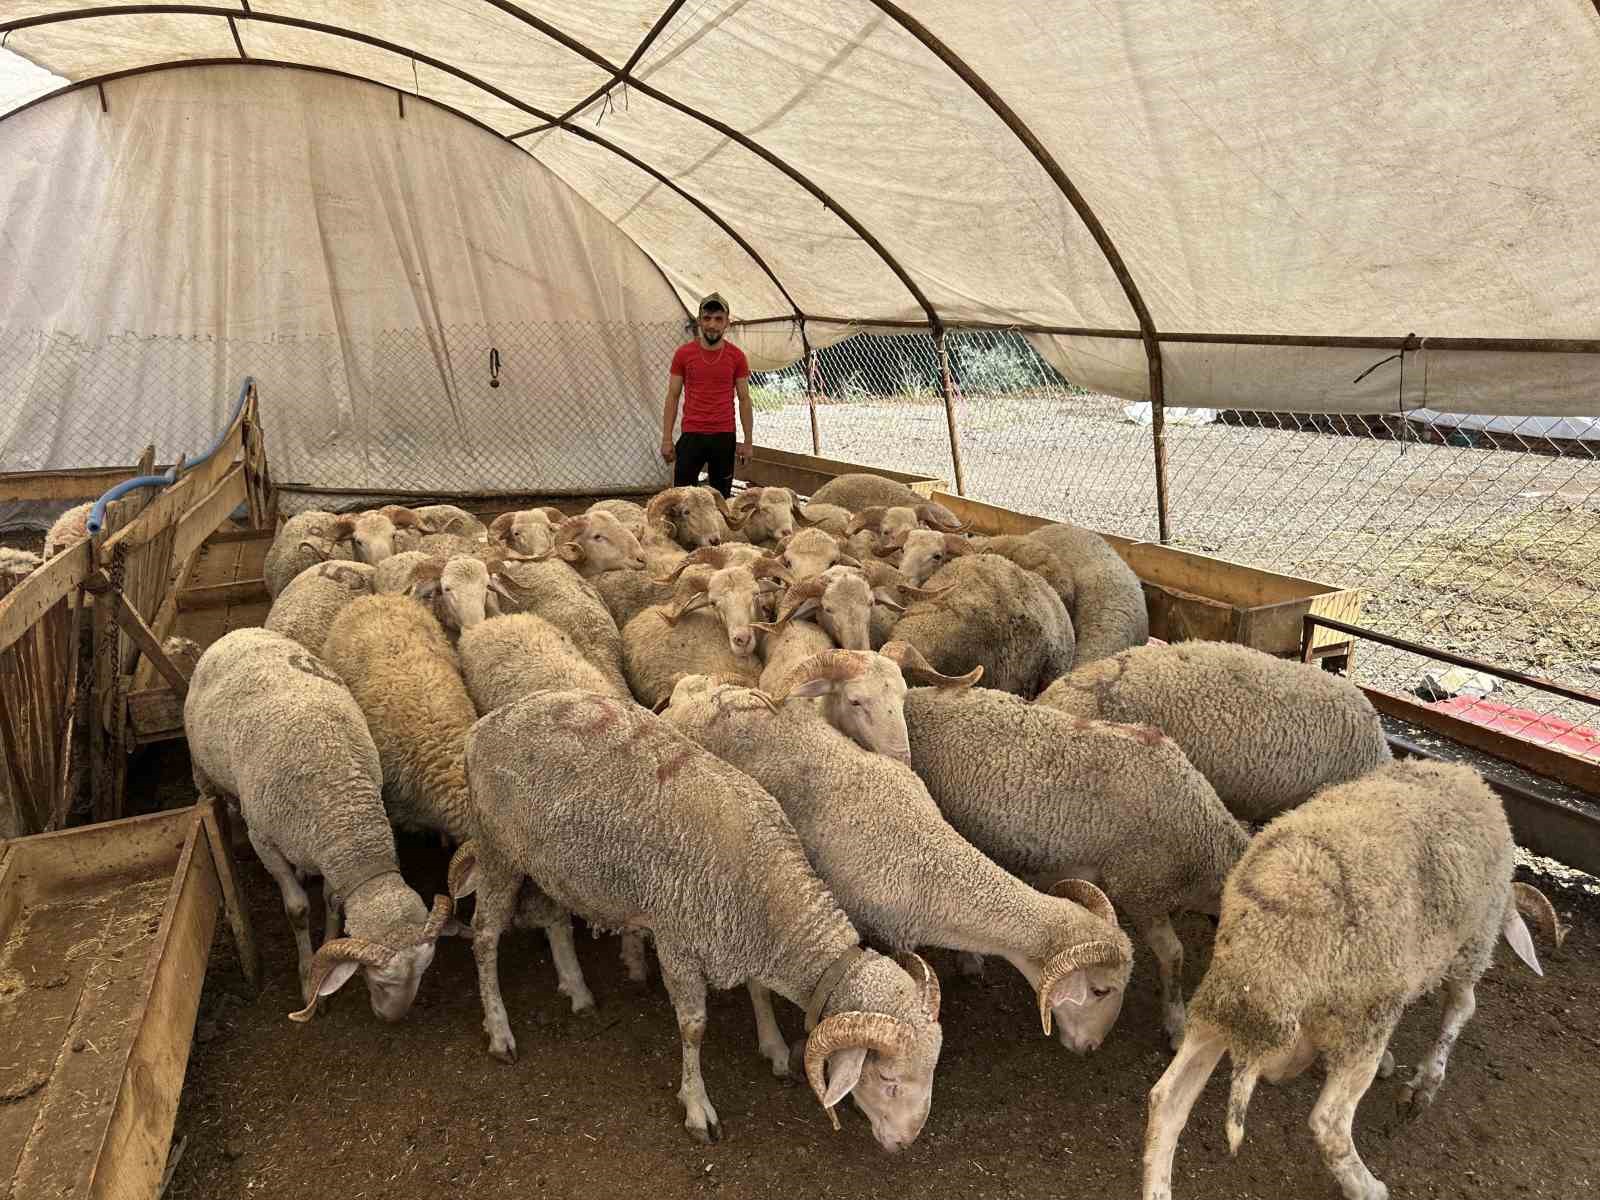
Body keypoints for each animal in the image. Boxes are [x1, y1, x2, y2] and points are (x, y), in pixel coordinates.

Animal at [183, 630, 451, 1024]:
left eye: (425, 970)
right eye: (381, 980)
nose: (392, 1018)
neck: (340, 801)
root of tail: (239, 633)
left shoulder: (329, 851)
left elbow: (331, 901)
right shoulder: (265, 841)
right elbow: (298, 910)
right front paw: (310, 976)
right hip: (204, 771)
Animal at [451, 694, 940, 1158]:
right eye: (888, 1080)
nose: (906, 1143)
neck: (770, 894)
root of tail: (488, 722)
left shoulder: (740, 934)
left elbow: (758, 990)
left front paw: (774, 1048)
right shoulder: (678, 942)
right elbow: (693, 1029)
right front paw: (697, 1108)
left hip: (550, 861)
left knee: (554, 918)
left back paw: (577, 989)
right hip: (496, 848)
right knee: (485, 935)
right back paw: (500, 1031)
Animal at [1145, 764, 1568, 1200]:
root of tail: (1273, 936)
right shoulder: (1472, 946)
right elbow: (1461, 1009)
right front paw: (1424, 1085)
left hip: (1223, 1002)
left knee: (1166, 1100)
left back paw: (1157, 1186)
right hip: (1362, 1019)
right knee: (1329, 1122)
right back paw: (1367, 1186)